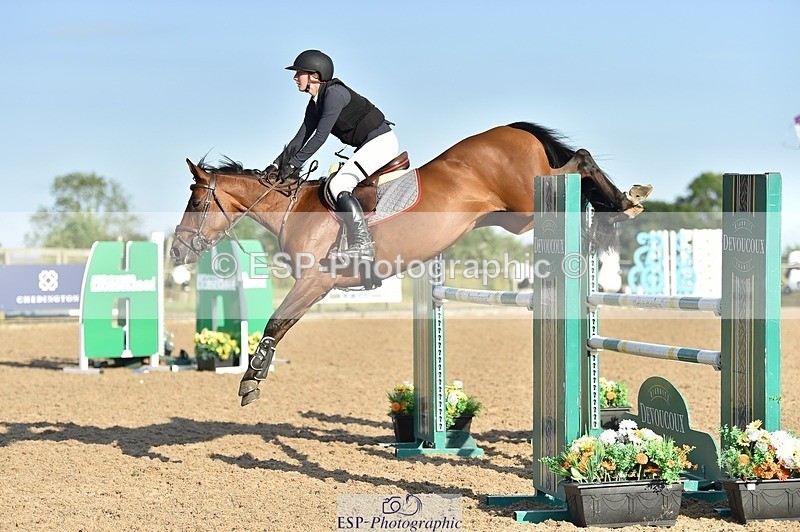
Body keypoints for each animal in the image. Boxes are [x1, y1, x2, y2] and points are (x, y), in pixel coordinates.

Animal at [170, 122, 652, 406]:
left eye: (194, 201)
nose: (176, 251)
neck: (297, 209)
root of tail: (513, 128)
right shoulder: (316, 286)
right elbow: (281, 324)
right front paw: (253, 376)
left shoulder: (317, 281)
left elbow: (275, 322)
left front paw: (250, 380)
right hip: (515, 216)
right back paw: (621, 206)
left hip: (530, 196)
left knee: (579, 160)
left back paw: (627, 202)